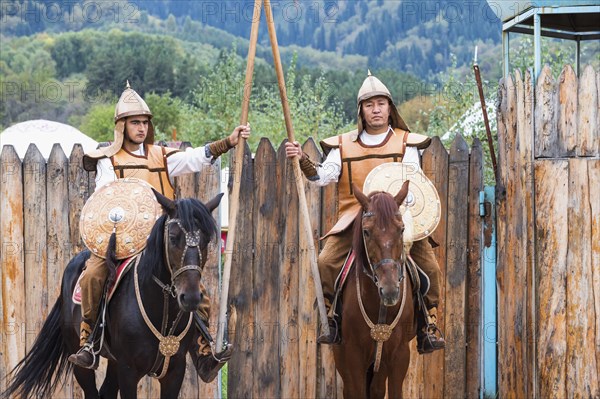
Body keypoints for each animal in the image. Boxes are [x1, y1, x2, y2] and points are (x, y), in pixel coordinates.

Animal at [1, 191, 224, 399]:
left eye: (206, 240)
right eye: (173, 238)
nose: (191, 298)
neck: (161, 306)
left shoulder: (174, 371)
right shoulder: (128, 371)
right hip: (80, 361)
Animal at [332, 183, 418, 398]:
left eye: (401, 229)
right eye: (367, 232)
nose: (389, 290)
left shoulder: (399, 354)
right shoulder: (353, 354)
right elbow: (356, 391)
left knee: (377, 389)